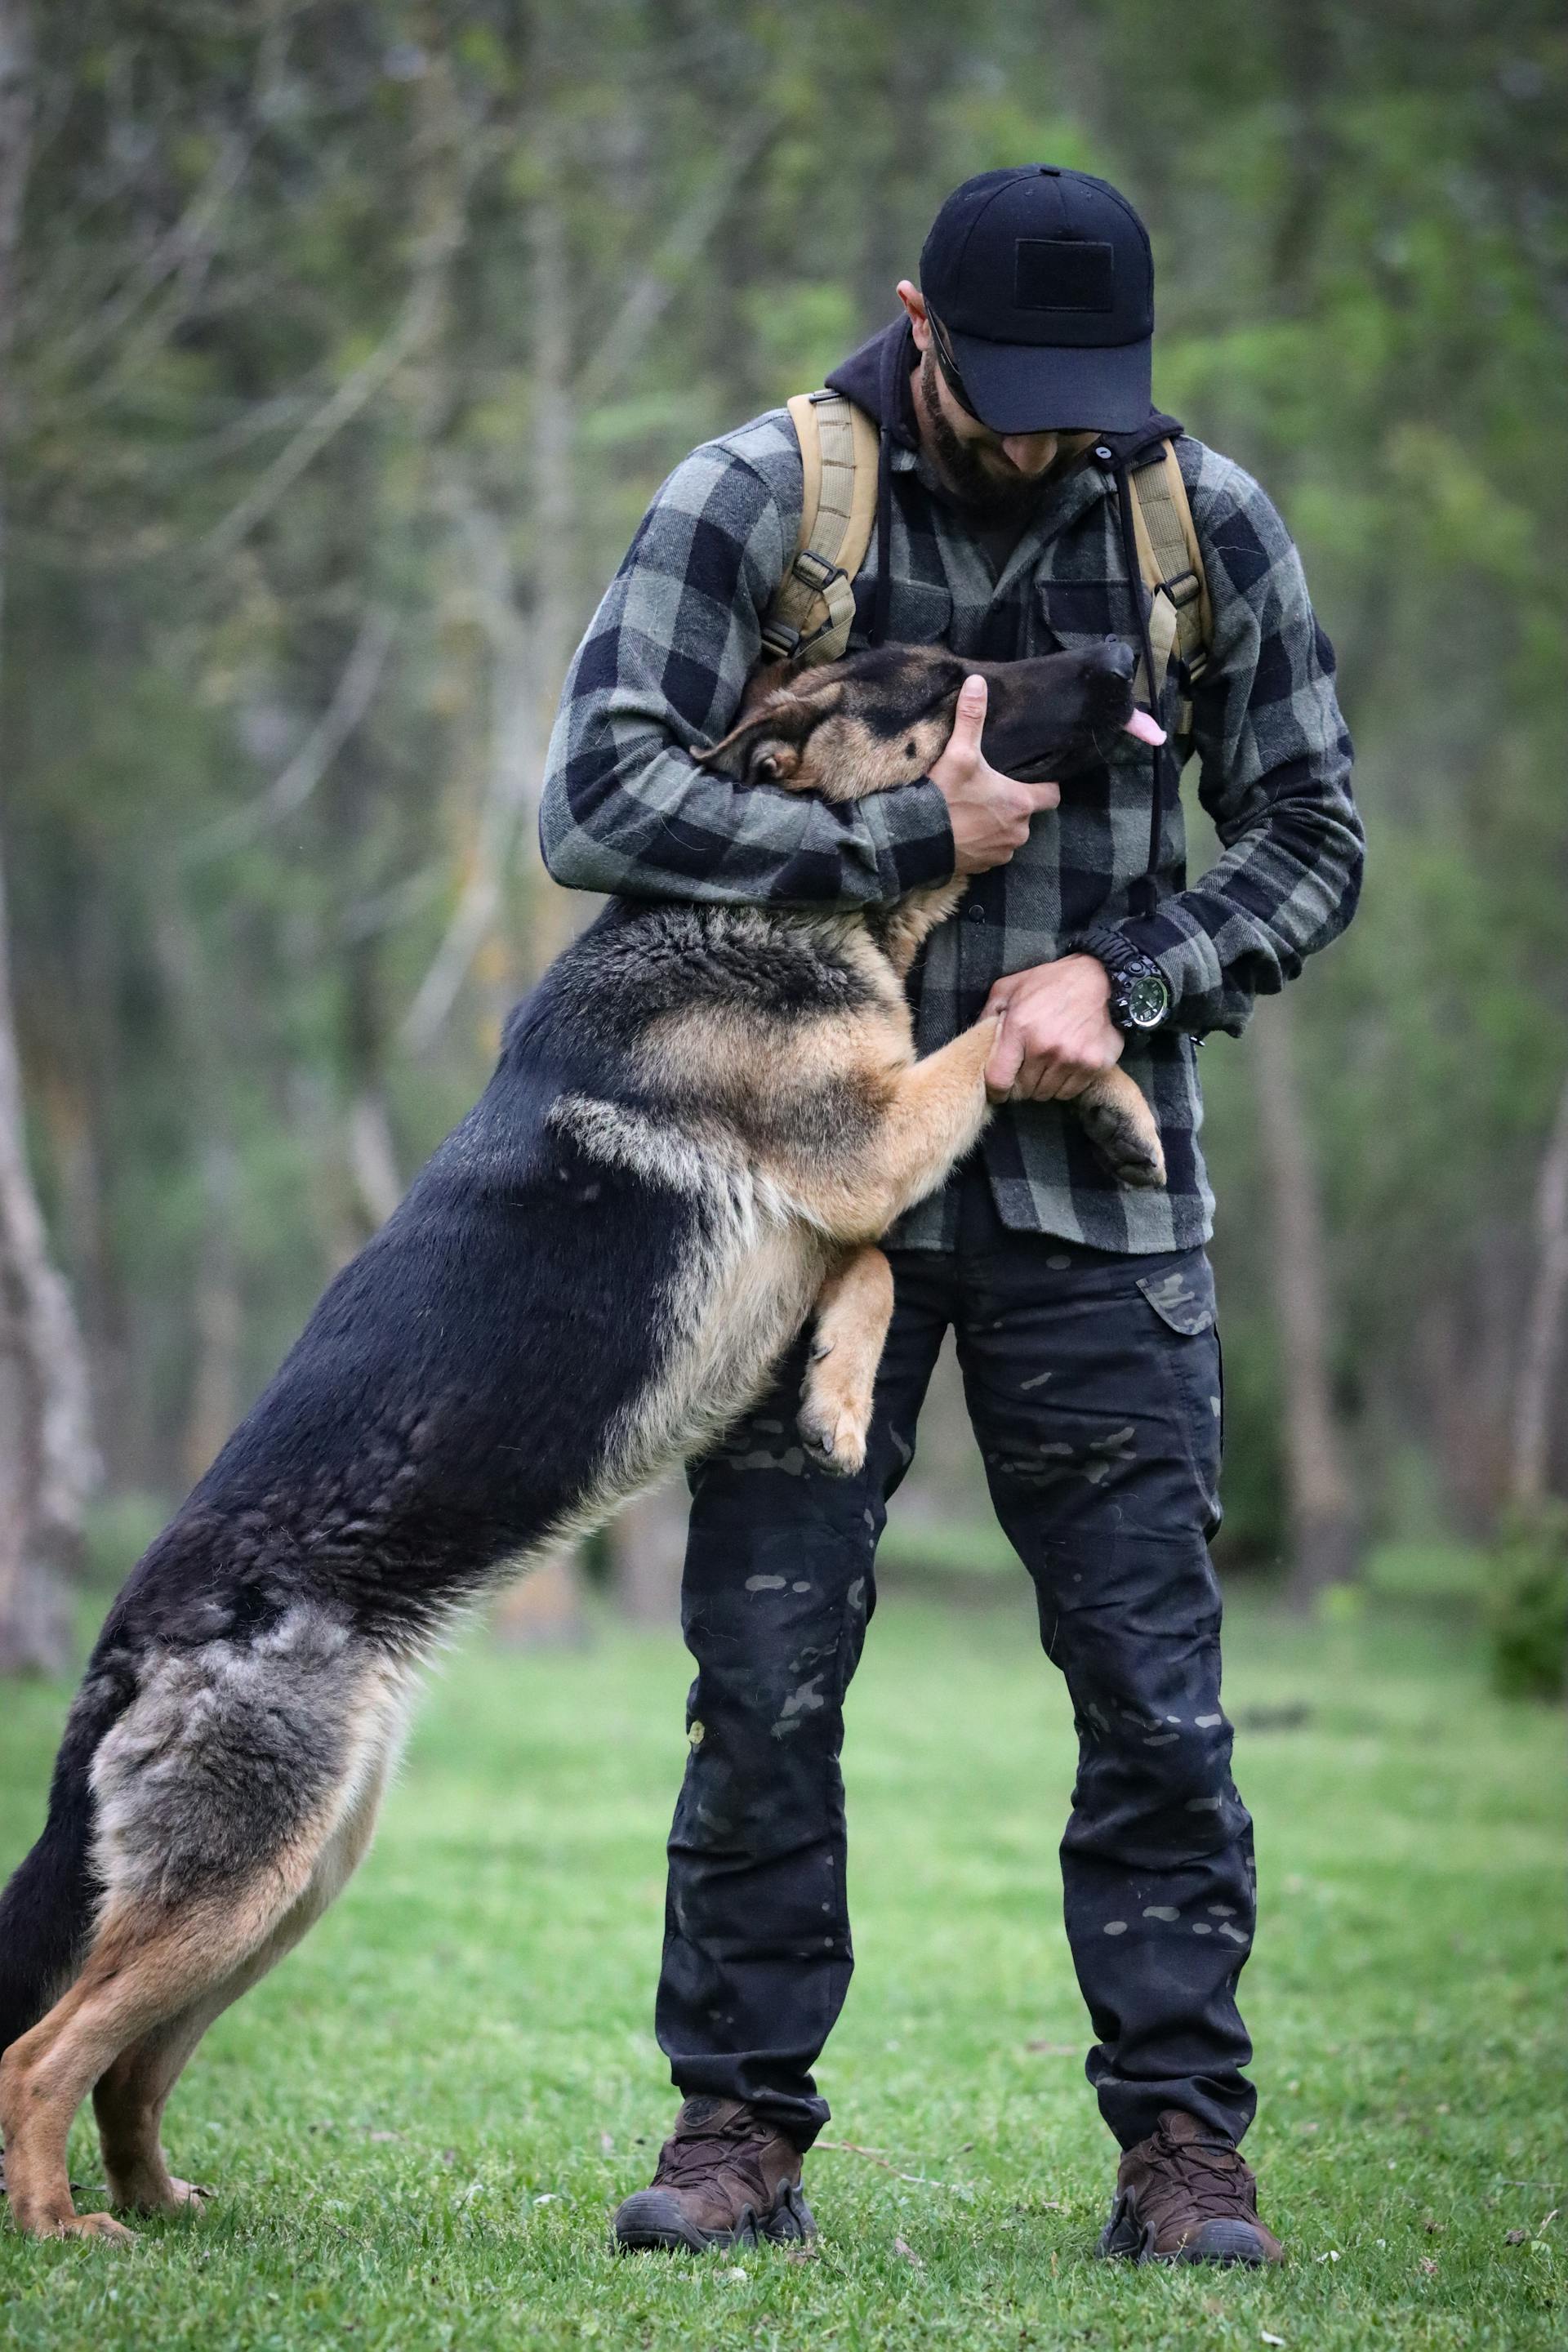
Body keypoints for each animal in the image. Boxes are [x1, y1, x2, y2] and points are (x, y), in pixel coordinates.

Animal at [0, 639, 1165, 2238]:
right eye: (949, 676)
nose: (1122, 659)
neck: (771, 903)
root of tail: (126, 1645)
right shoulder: (862, 1144)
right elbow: (991, 1031)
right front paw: (1101, 1096)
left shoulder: (846, 1185)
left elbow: (880, 1244)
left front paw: (843, 1383)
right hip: (244, 1883)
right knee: (41, 2055)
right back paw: (65, 2226)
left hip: (290, 1881)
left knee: (128, 2065)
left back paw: (162, 2203)